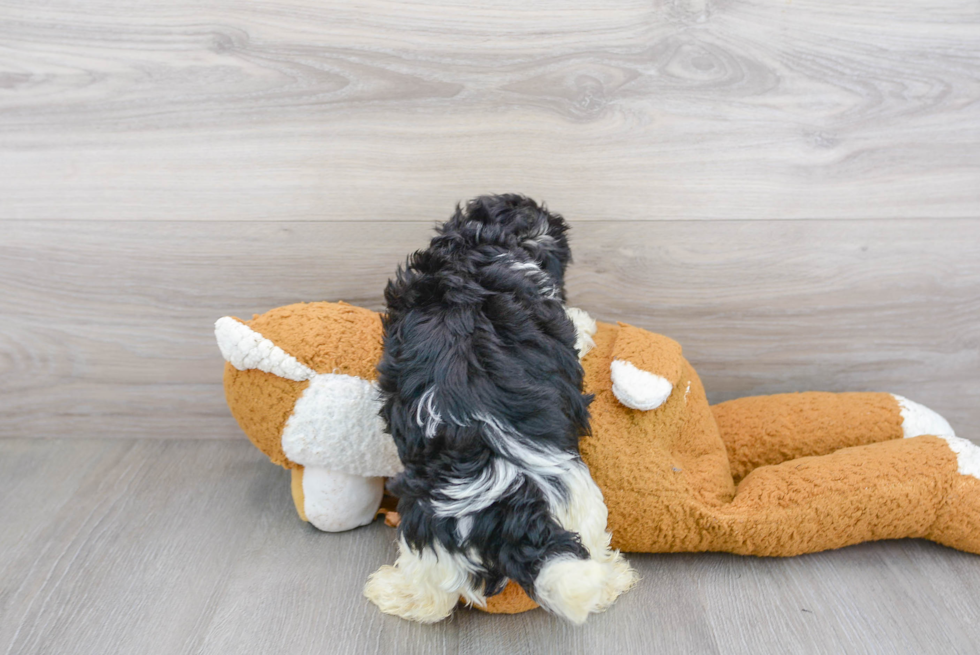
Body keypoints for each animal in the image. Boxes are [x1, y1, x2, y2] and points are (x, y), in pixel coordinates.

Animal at [362, 195, 636, 624]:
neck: (475, 247)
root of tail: (501, 495)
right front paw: (584, 321)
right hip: (576, 498)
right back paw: (612, 578)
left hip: (429, 522)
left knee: (430, 592)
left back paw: (394, 594)